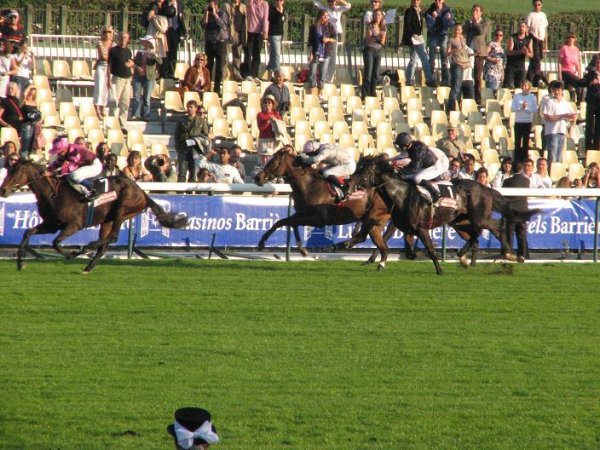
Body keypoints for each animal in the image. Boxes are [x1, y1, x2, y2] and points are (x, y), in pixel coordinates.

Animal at [0, 162, 188, 274]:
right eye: (9, 170)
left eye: (17, 171)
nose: (3, 190)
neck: (53, 193)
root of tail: (142, 193)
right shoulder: (52, 224)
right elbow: (28, 232)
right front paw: (20, 263)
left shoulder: (74, 225)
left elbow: (56, 242)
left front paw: (71, 254)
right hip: (107, 220)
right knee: (104, 245)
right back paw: (88, 266)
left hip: (122, 210)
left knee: (113, 237)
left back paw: (86, 248)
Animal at [254, 148, 392, 268]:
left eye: (273, 162)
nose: (257, 178)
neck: (309, 185)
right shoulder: (302, 213)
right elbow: (284, 222)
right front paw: (301, 249)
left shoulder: (318, 220)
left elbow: (288, 222)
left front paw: (262, 243)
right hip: (374, 222)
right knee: (380, 244)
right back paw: (377, 261)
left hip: (373, 216)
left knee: (363, 237)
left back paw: (335, 247)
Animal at [346, 155, 520, 274]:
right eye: (356, 168)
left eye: (365, 172)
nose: (348, 185)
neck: (401, 194)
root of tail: (485, 188)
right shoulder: (406, 228)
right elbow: (407, 250)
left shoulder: (420, 228)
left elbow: (429, 249)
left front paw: (439, 269)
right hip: (460, 222)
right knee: (475, 235)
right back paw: (468, 259)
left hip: (480, 218)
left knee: (496, 227)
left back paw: (510, 254)